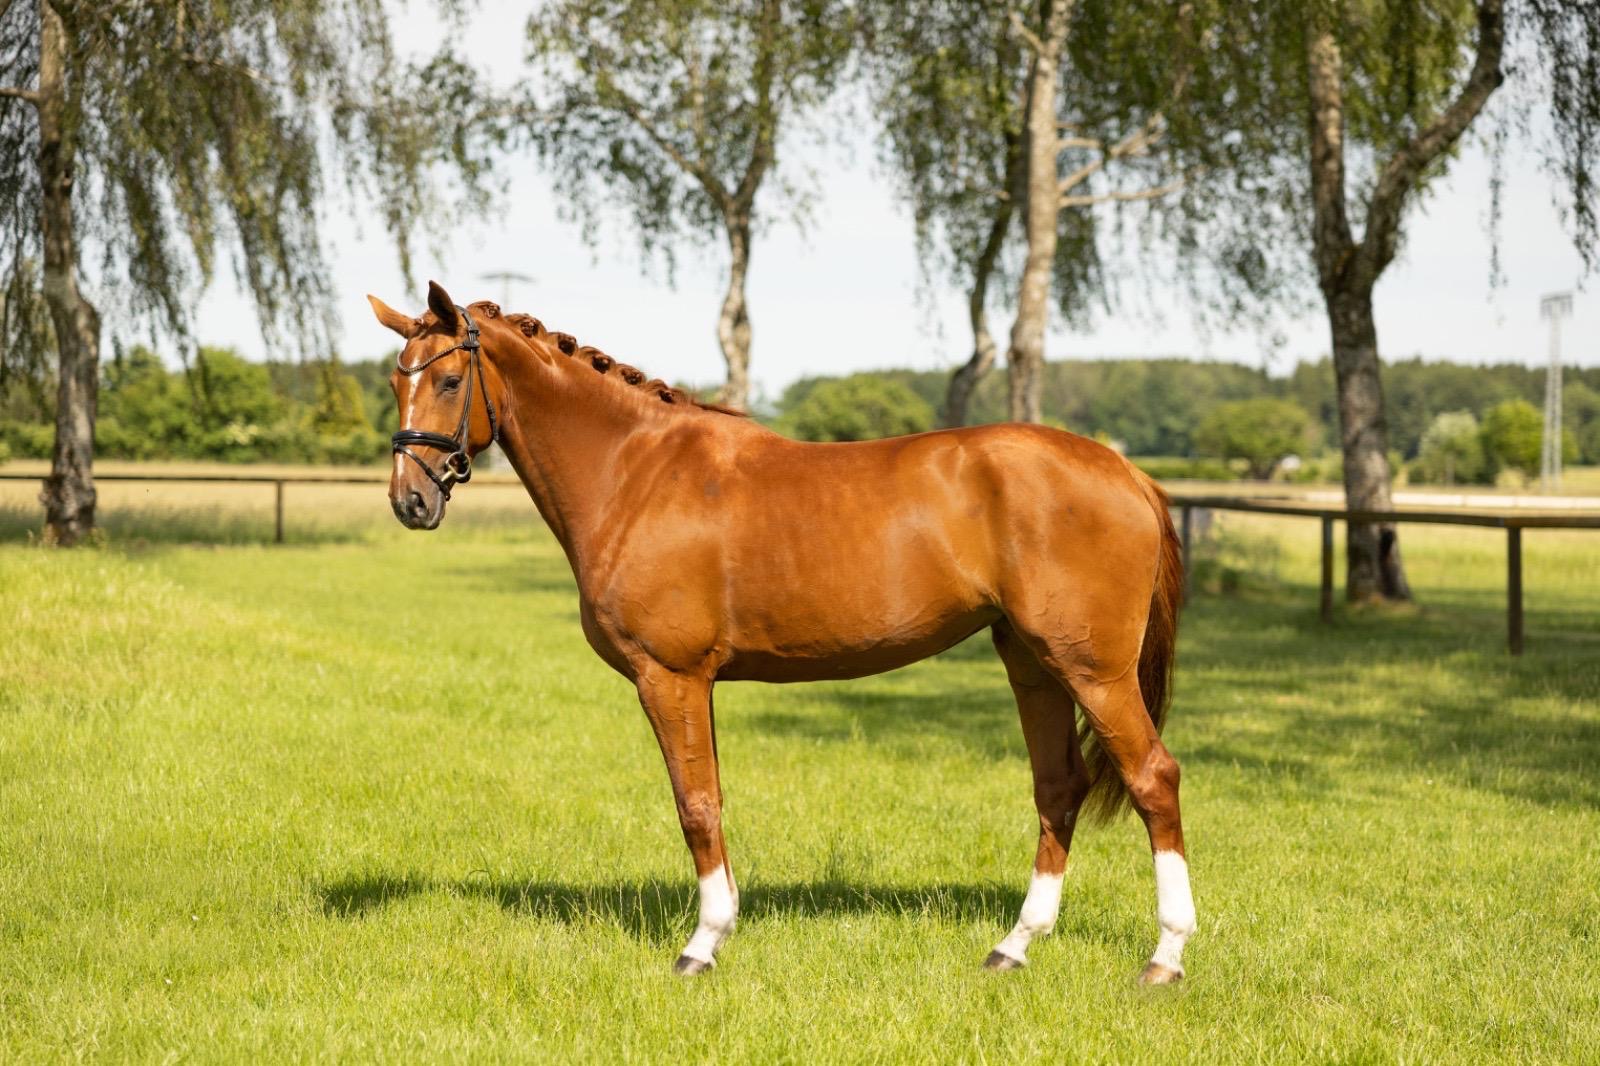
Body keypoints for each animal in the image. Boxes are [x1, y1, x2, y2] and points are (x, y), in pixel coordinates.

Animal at [369, 281, 1196, 984]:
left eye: (450, 381)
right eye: (395, 381)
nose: (410, 501)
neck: (635, 471)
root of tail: (1126, 472)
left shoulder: (671, 677)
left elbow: (696, 805)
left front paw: (701, 946)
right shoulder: (695, 684)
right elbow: (710, 798)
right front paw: (721, 926)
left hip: (1093, 671)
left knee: (1154, 779)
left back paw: (1165, 957)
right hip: (1032, 662)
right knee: (1058, 786)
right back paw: (1014, 947)